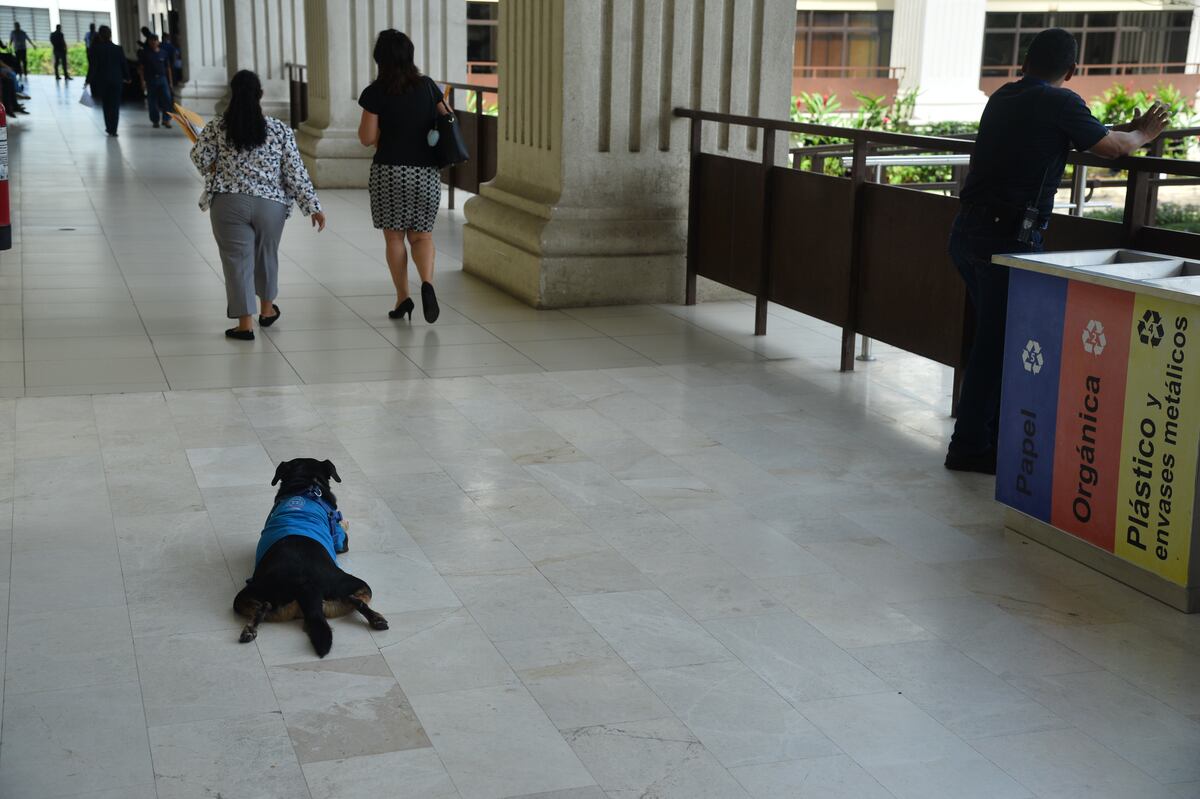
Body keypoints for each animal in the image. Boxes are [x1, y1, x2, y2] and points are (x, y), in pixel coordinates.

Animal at [231, 458, 386, 657]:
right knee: (360, 600)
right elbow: (343, 534)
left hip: (269, 601)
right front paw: (345, 522)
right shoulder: (340, 541)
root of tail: (307, 586)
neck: (305, 485)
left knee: (264, 607)